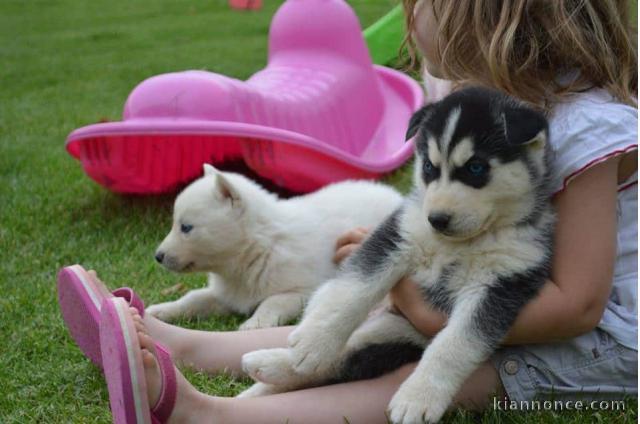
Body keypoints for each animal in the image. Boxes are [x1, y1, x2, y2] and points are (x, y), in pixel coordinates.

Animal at [148, 166, 402, 332]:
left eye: (186, 227)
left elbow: (273, 301)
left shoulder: (303, 289)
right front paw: (162, 310)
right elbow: (194, 298)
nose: (158, 256)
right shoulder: (228, 294)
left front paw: (256, 323)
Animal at [240, 87, 556, 424]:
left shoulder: (501, 285)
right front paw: (314, 339)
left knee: (345, 361)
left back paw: (268, 368)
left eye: (476, 167)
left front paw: (418, 398)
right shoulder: (397, 236)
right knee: (338, 356)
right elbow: (353, 291)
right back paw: (276, 362)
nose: (437, 220)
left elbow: (454, 345)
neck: (463, 244)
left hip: (398, 336)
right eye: (429, 167)